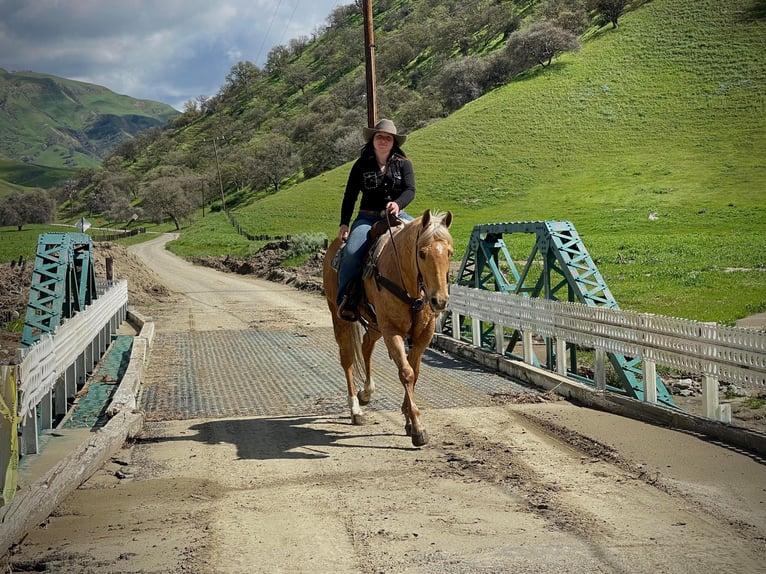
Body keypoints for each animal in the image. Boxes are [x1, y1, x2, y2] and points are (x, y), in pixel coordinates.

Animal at [322, 209, 452, 448]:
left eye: (449, 252)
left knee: (366, 346)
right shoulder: (392, 331)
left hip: (375, 324)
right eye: (422, 254)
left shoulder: (423, 334)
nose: (439, 301)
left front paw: (408, 418)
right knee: (347, 359)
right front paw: (417, 427)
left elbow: (414, 372)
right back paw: (355, 409)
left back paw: (366, 392)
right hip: (340, 316)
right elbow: (406, 373)